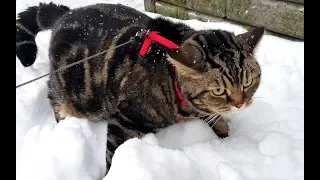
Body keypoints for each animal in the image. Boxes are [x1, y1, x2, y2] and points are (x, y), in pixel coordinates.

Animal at [15, 2, 262, 174]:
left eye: (249, 82)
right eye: (218, 90)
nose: (241, 103)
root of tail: (65, 14)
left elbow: (215, 118)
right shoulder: (123, 121)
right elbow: (112, 156)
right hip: (73, 91)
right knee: (52, 93)